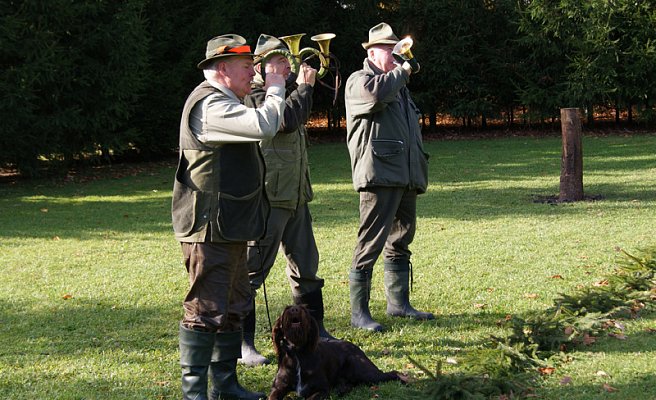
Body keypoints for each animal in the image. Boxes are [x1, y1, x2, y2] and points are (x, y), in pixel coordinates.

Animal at [268, 304, 404, 398]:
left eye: (303, 309)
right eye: (287, 308)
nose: (294, 310)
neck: (298, 353)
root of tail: (356, 347)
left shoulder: (321, 389)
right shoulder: (277, 388)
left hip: (361, 369)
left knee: (393, 373)